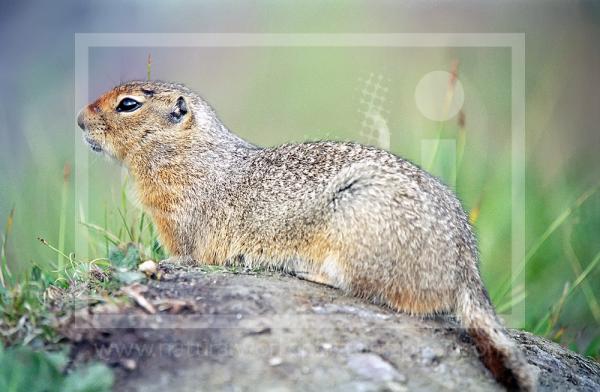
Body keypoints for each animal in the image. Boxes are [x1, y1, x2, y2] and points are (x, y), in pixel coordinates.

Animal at [78, 81, 540, 390]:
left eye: (128, 104)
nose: (79, 120)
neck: (189, 152)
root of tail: (466, 269)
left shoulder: (178, 219)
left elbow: (182, 252)